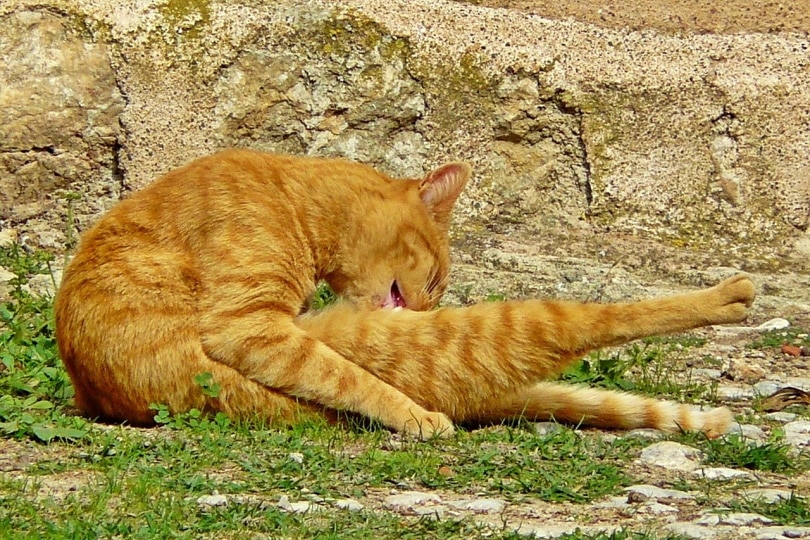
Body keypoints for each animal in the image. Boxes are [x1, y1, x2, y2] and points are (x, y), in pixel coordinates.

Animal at [53, 148, 756, 438]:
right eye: (437, 278)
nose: (425, 308)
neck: (295, 194)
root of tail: (97, 399)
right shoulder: (247, 324)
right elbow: (349, 379)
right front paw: (416, 420)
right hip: (395, 340)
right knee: (570, 321)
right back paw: (730, 295)